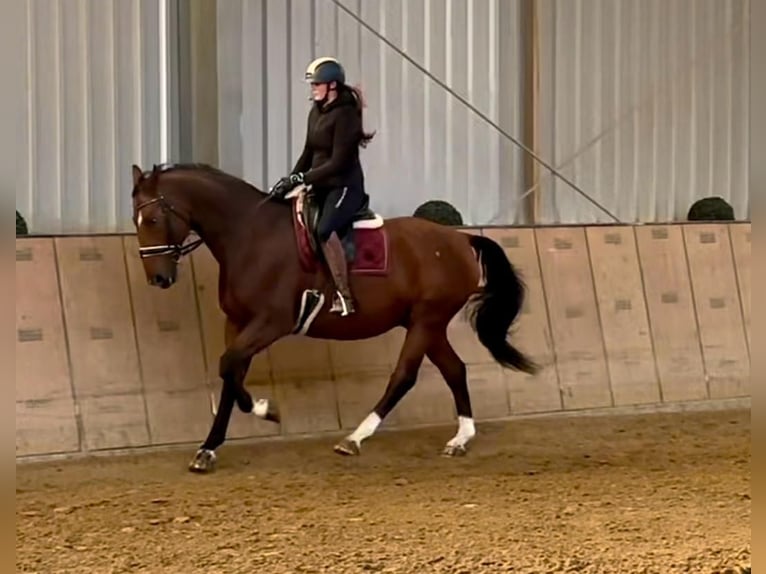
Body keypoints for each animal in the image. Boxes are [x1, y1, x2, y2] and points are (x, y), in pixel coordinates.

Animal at [130, 162, 540, 472]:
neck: (251, 236)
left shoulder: (271, 323)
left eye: (151, 218)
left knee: (404, 376)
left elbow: (229, 366)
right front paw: (208, 449)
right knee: (454, 369)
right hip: (427, 324)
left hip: (427, 320)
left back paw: (355, 439)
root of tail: (459, 239)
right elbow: (231, 374)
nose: (158, 279)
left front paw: (267, 410)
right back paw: (460, 438)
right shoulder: (238, 322)